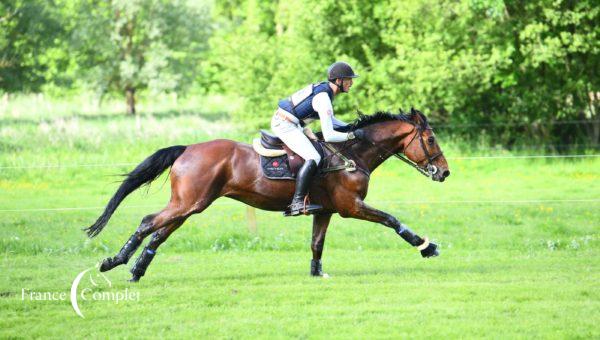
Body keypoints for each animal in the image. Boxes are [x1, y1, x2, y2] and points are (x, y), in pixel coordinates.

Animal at [84, 109, 450, 282]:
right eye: (431, 140)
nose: (444, 172)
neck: (353, 154)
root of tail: (187, 149)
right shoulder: (351, 206)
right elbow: (392, 220)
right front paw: (426, 246)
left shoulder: (326, 211)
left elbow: (317, 243)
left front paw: (317, 273)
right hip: (189, 203)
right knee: (149, 222)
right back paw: (114, 262)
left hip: (188, 206)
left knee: (160, 232)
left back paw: (136, 270)